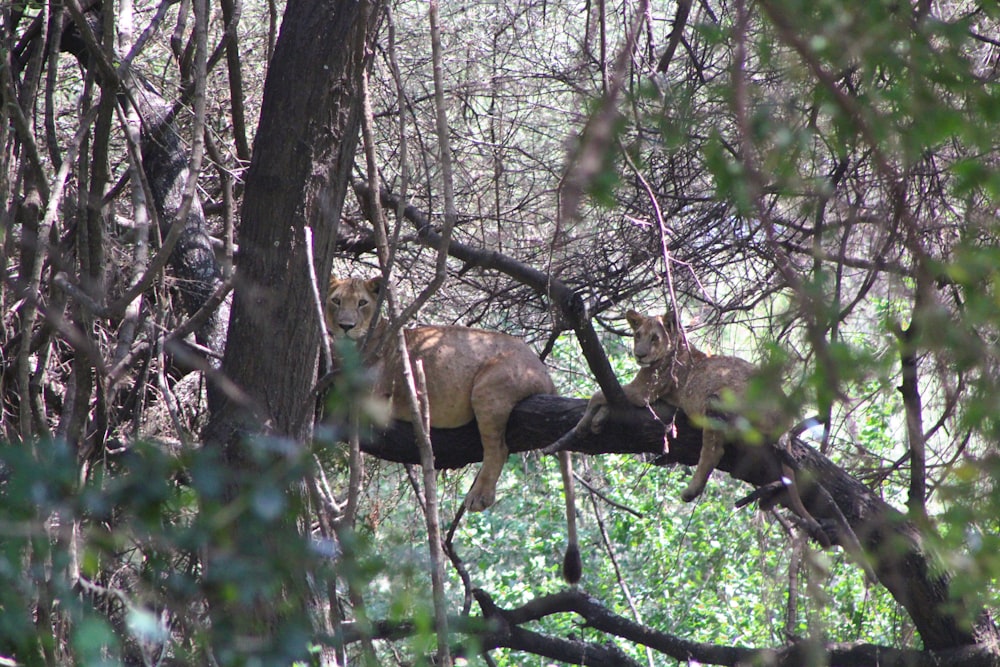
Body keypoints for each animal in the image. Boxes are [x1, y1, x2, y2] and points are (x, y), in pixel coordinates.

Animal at [324, 276, 584, 584]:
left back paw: (479, 496)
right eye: (336, 301)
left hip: (488, 387)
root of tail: (542, 369)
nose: (345, 326)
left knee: (498, 448)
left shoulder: (377, 399)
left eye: (362, 303)